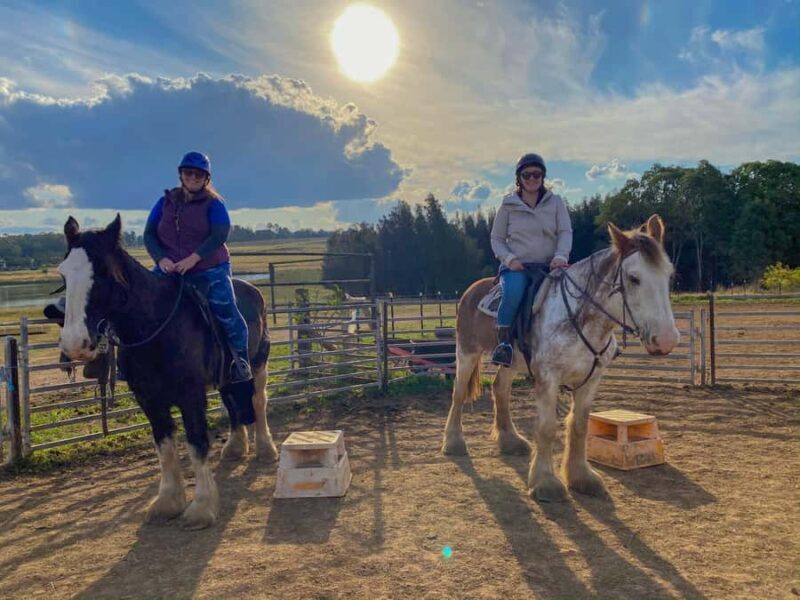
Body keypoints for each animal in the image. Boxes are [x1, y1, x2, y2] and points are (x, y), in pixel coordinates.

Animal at [57, 215, 278, 529]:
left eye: (102, 272)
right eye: (63, 274)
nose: (74, 344)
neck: (156, 328)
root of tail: (252, 290)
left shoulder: (190, 395)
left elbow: (196, 443)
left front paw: (201, 508)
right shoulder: (148, 399)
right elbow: (164, 446)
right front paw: (167, 502)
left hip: (258, 365)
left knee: (257, 402)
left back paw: (266, 450)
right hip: (227, 376)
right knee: (234, 404)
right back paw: (235, 448)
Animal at [442, 215, 679, 502]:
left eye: (668, 275)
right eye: (634, 278)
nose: (666, 340)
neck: (580, 318)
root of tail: (471, 291)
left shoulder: (591, 380)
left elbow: (579, 426)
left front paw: (582, 477)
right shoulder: (548, 378)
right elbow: (546, 428)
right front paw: (546, 483)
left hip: (510, 361)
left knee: (500, 389)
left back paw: (510, 440)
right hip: (466, 351)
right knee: (458, 393)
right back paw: (454, 442)